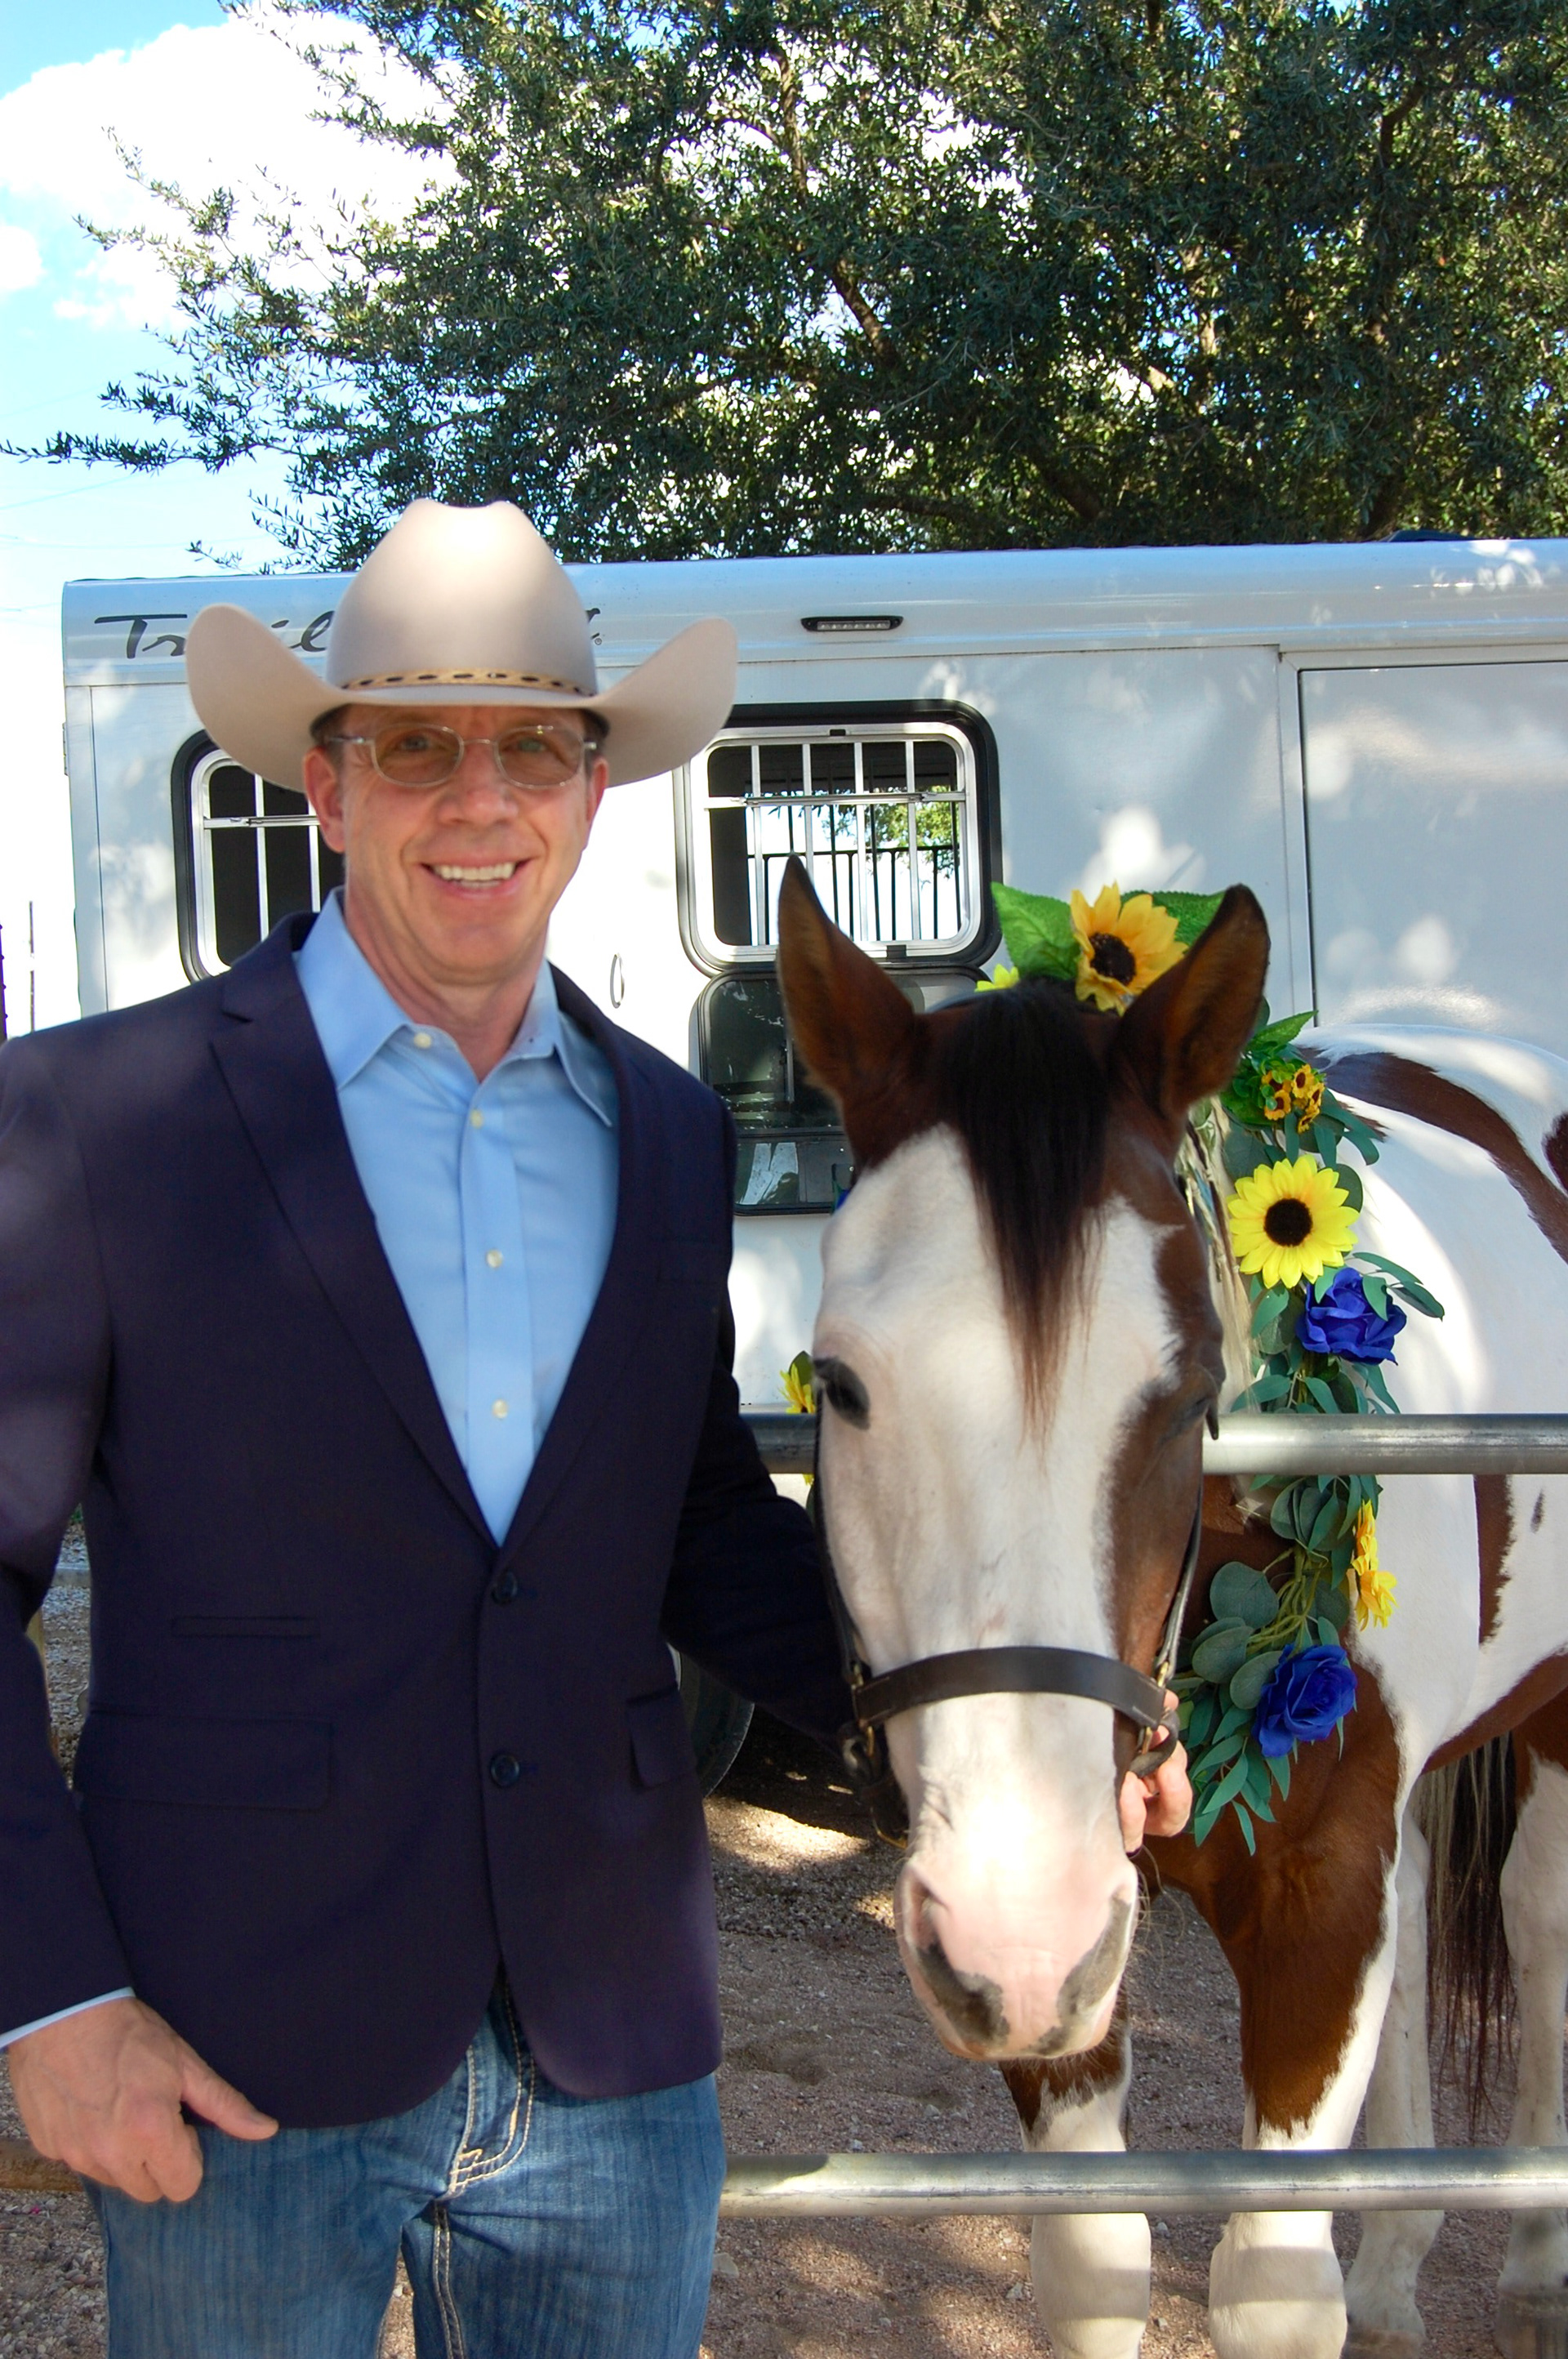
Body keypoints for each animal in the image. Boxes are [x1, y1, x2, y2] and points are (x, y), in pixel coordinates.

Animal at [774, 858, 1568, 2359]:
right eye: (840, 1386)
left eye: (1194, 1388)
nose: (1014, 1922)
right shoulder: (1080, 1963)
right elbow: (1095, 2265)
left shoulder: (1315, 1905)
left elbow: (1270, 2281)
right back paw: (1398, 2266)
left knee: (1540, 1914)